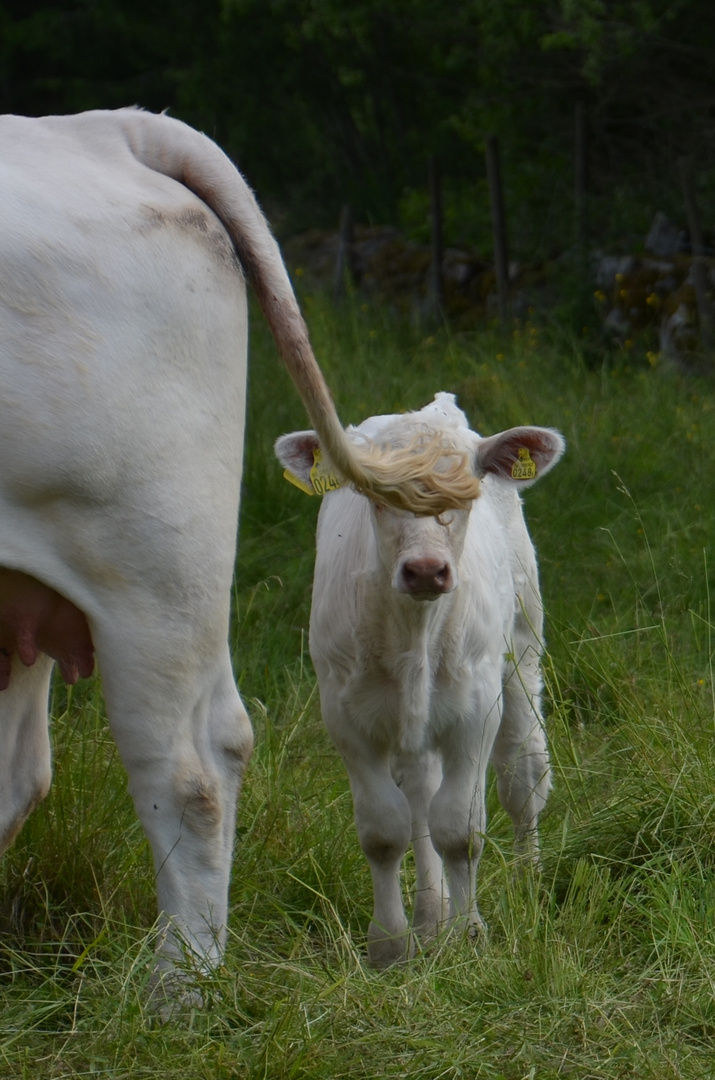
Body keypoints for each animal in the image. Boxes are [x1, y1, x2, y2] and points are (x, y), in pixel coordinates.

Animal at [276, 393, 570, 967]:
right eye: (374, 493)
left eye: (467, 487)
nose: (427, 570)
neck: (414, 627)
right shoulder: (344, 715)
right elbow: (385, 830)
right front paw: (390, 944)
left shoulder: (476, 711)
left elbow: (461, 828)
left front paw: (470, 936)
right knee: (419, 799)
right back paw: (431, 917)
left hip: (522, 647)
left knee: (522, 773)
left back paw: (527, 883)